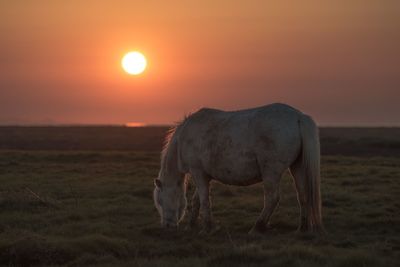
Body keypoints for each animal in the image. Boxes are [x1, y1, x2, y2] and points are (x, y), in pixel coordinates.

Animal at [152, 103, 324, 234]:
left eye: (160, 201)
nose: (167, 226)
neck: (184, 137)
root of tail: (298, 117)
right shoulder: (204, 176)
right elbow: (197, 201)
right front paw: (191, 225)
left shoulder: (198, 173)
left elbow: (205, 200)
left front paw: (207, 228)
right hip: (297, 167)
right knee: (303, 195)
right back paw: (302, 228)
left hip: (271, 172)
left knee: (272, 198)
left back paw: (257, 228)